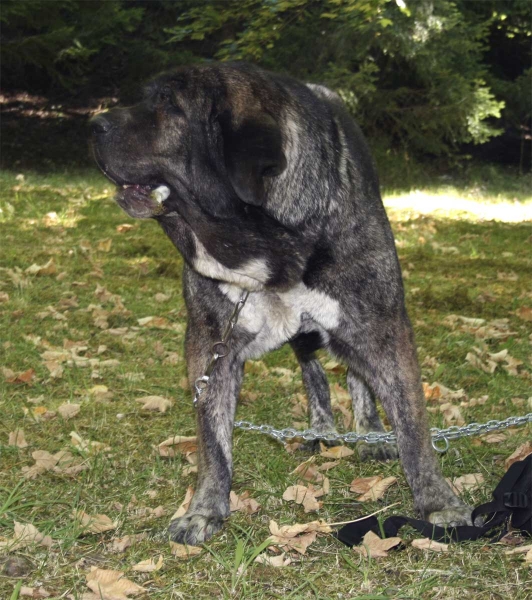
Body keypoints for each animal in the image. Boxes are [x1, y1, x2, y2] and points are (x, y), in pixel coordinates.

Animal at [91, 61, 474, 544]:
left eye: (169, 105)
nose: (93, 124)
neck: (269, 246)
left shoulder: (383, 327)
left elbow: (413, 426)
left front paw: (437, 501)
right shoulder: (210, 345)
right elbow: (212, 439)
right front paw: (205, 509)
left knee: (355, 376)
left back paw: (368, 432)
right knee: (314, 371)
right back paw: (322, 425)